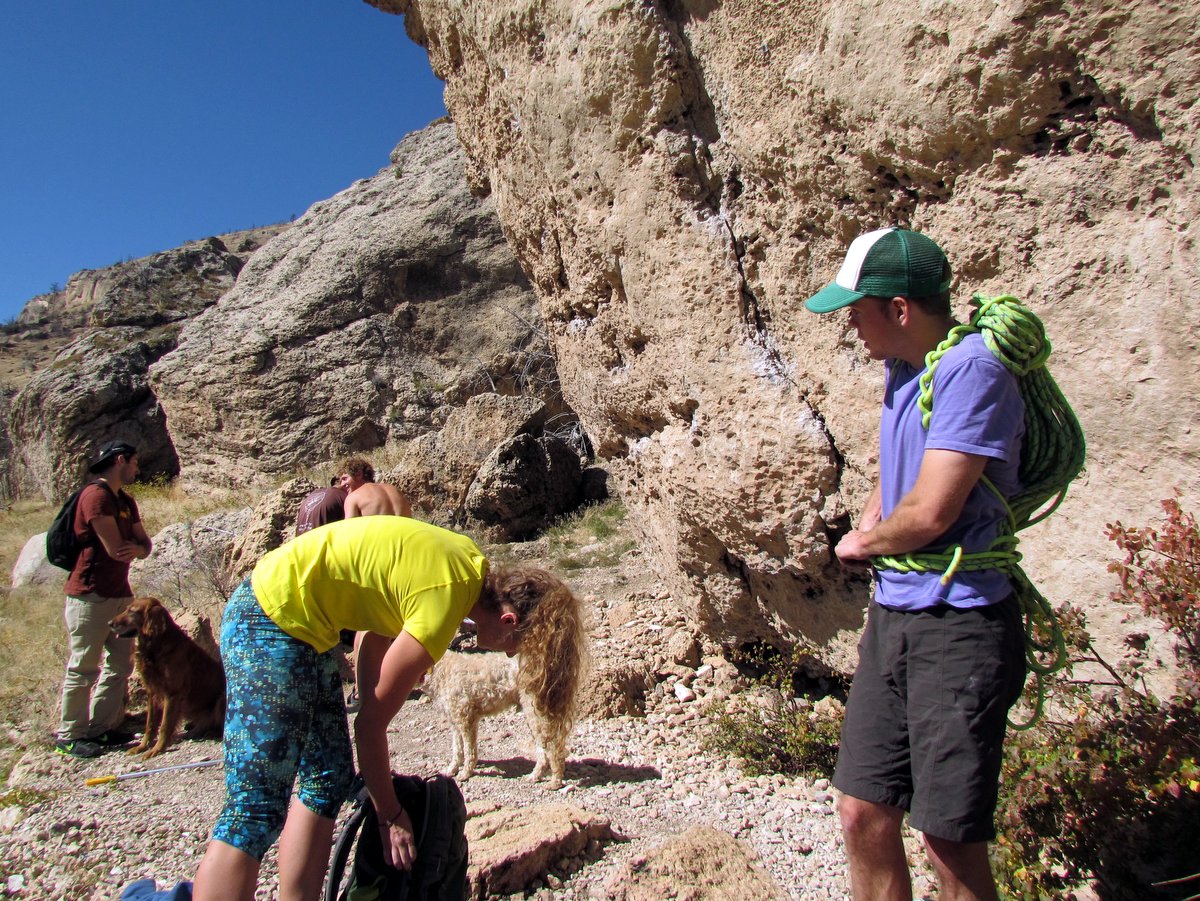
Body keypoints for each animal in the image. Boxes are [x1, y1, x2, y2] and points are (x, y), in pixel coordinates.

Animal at [112, 599, 226, 763]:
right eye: (126, 609)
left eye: (132, 611)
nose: (109, 623)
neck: (157, 645)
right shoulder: (152, 693)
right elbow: (150, 725)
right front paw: (142, 746)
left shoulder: (172, 693)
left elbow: (165, 726)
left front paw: (156, 749)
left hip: (222, 697)